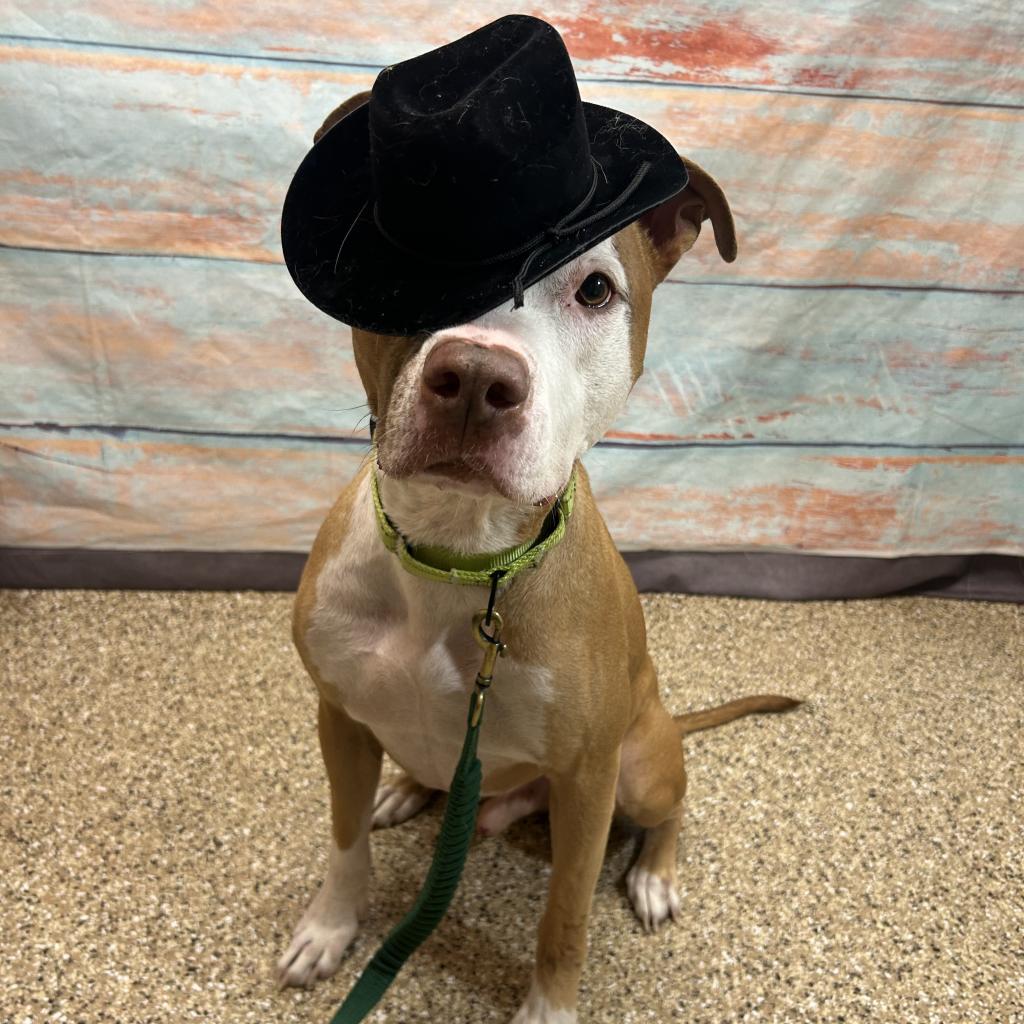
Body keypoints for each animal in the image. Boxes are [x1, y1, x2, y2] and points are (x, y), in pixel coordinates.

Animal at [278, 75, 798, 1019]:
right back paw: (406, 788)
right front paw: (330, 928)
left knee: (671, 807)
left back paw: (655, 874)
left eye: (595, 290)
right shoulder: (336, 716)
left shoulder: (588, 780)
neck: (456, 554)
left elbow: (565, 919)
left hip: (640, 761)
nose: (478, 378)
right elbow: (343, 841)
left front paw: (549, 1007)